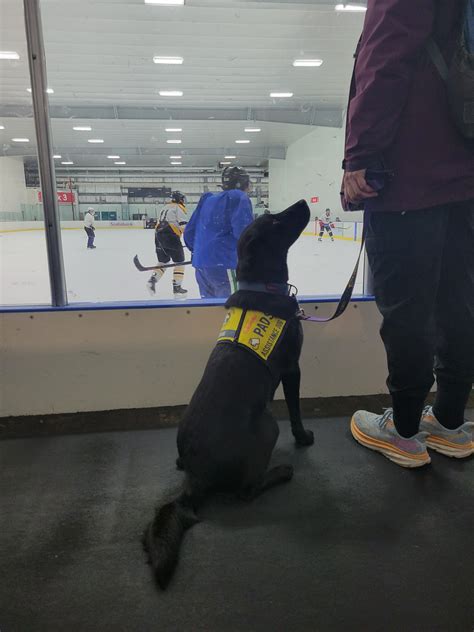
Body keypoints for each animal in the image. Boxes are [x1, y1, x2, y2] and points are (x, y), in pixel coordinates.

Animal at [143, 199, 314, 589]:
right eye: (275, 221)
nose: (302, 202)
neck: (265, 286)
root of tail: (195, 479)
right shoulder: (292, 368)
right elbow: (296, 409)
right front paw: (303, 438)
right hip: (268, 425)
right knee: (247, 490)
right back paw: (281, 471)